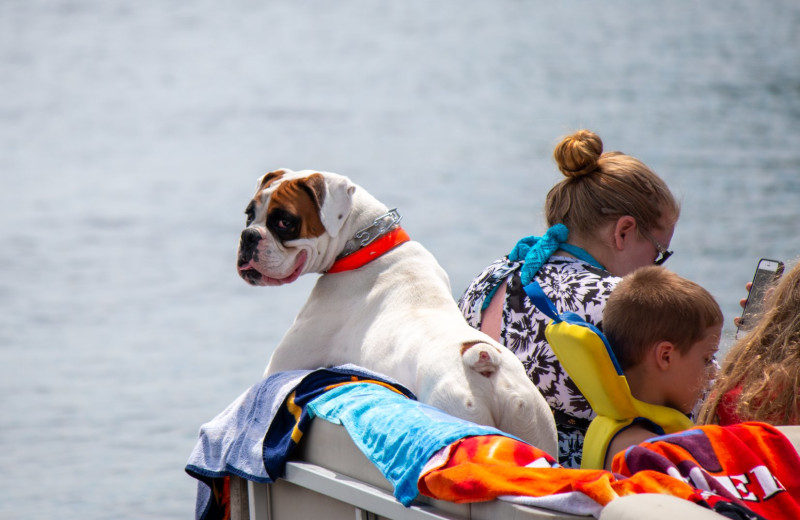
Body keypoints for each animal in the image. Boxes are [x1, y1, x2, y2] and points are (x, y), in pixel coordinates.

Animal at [236, 169, 556, 452]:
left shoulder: (281, 366)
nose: (248, 235)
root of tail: (482, 360)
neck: (368, 246)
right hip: (532, 421)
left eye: (284, 221)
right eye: (249, 214)